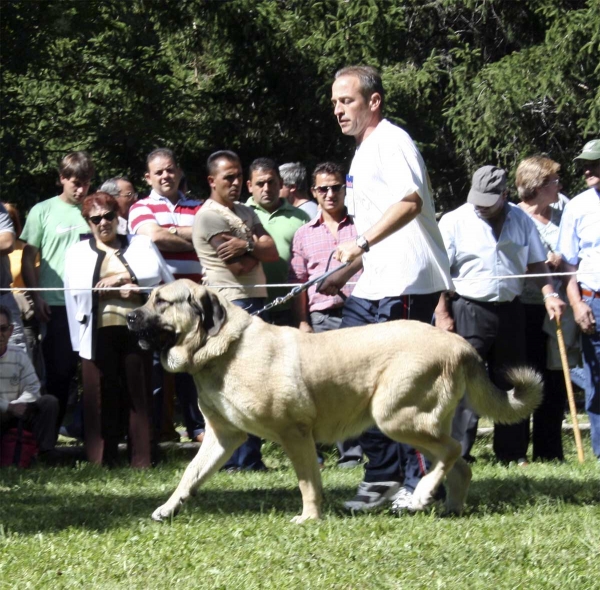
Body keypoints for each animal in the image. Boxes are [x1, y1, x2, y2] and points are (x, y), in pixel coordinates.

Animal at [127, 280, 544, 524]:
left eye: (161, 302)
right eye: (148, 298)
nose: (129, 317)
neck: (220, 350)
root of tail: (460, 345)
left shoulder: (295, 434)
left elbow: (308, 482)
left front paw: (309, 519)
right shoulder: (223, 436)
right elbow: (190, 474)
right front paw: (169, 507)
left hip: (395, 417)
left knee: (452, 450)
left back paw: (421, 495)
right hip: (414, 423)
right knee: (459, 464)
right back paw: (448, 507)